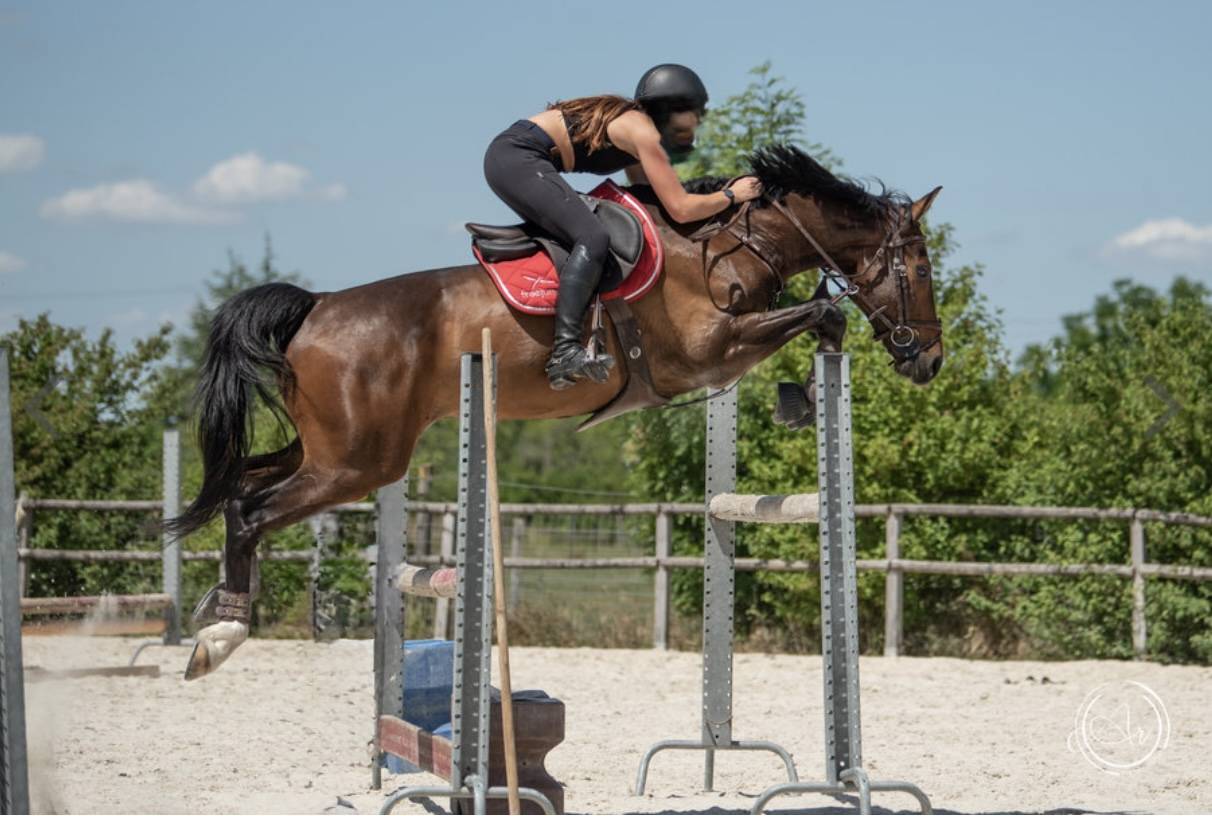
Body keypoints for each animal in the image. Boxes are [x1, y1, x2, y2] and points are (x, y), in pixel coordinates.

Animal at [169, 144, 944, 679]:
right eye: (921, 268)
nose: (929, 360)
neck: (723, 246)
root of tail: (316, 306)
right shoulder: (706, 355)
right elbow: (823, 311)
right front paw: (803, 394)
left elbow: (821, 317)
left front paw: (804, 397)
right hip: (359, 462)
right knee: (251, 510)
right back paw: (220, 636)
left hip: (330, 452)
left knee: (240, 485)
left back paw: (216, 608)